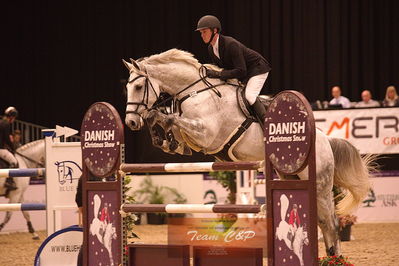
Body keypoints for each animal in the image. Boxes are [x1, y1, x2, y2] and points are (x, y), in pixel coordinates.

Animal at [122, 48, 376, 256]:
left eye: (138, 87)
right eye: (127, 88)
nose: (131, 122)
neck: (194, 91)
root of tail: (324, 139)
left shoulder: (206, 134)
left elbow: (172, 119)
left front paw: (158, 122)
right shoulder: (195, 137)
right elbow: (172, 125)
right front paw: (164, 138)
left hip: (319, 183)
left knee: (330, 221)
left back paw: (336, 258)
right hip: (290, 176)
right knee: (319, 220)